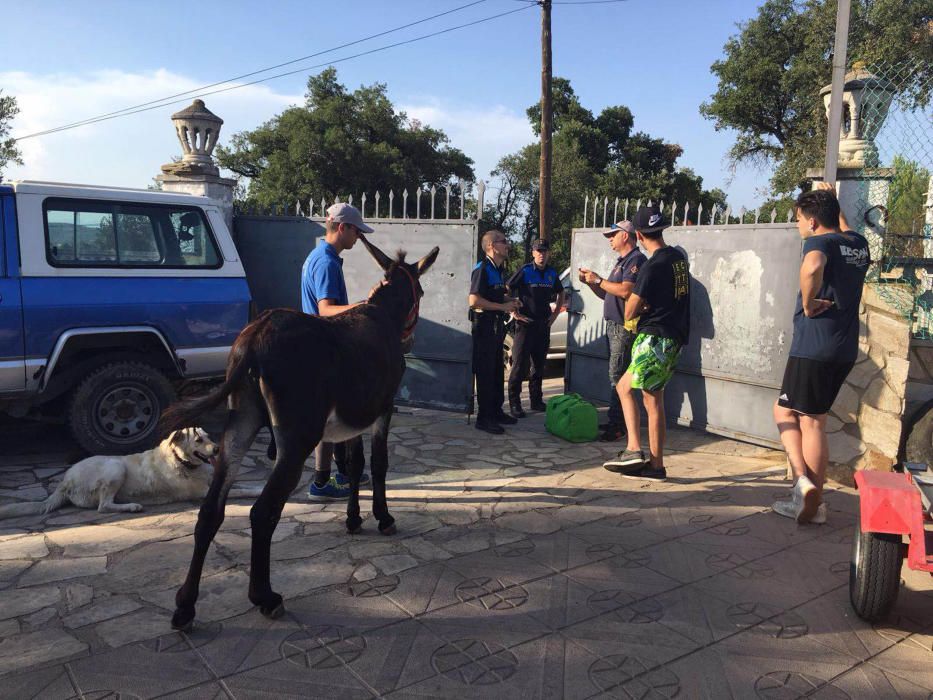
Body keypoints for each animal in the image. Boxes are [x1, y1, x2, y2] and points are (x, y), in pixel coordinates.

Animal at [0, 426, 266, 520]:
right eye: (199, 440)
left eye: (209, 436)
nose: (219, 448)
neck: (179, 459)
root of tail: (64, 481)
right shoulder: (205, 492)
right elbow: (241, 490)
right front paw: (259, 488)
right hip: (114, 467)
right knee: (103, 506)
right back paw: (132, 506)